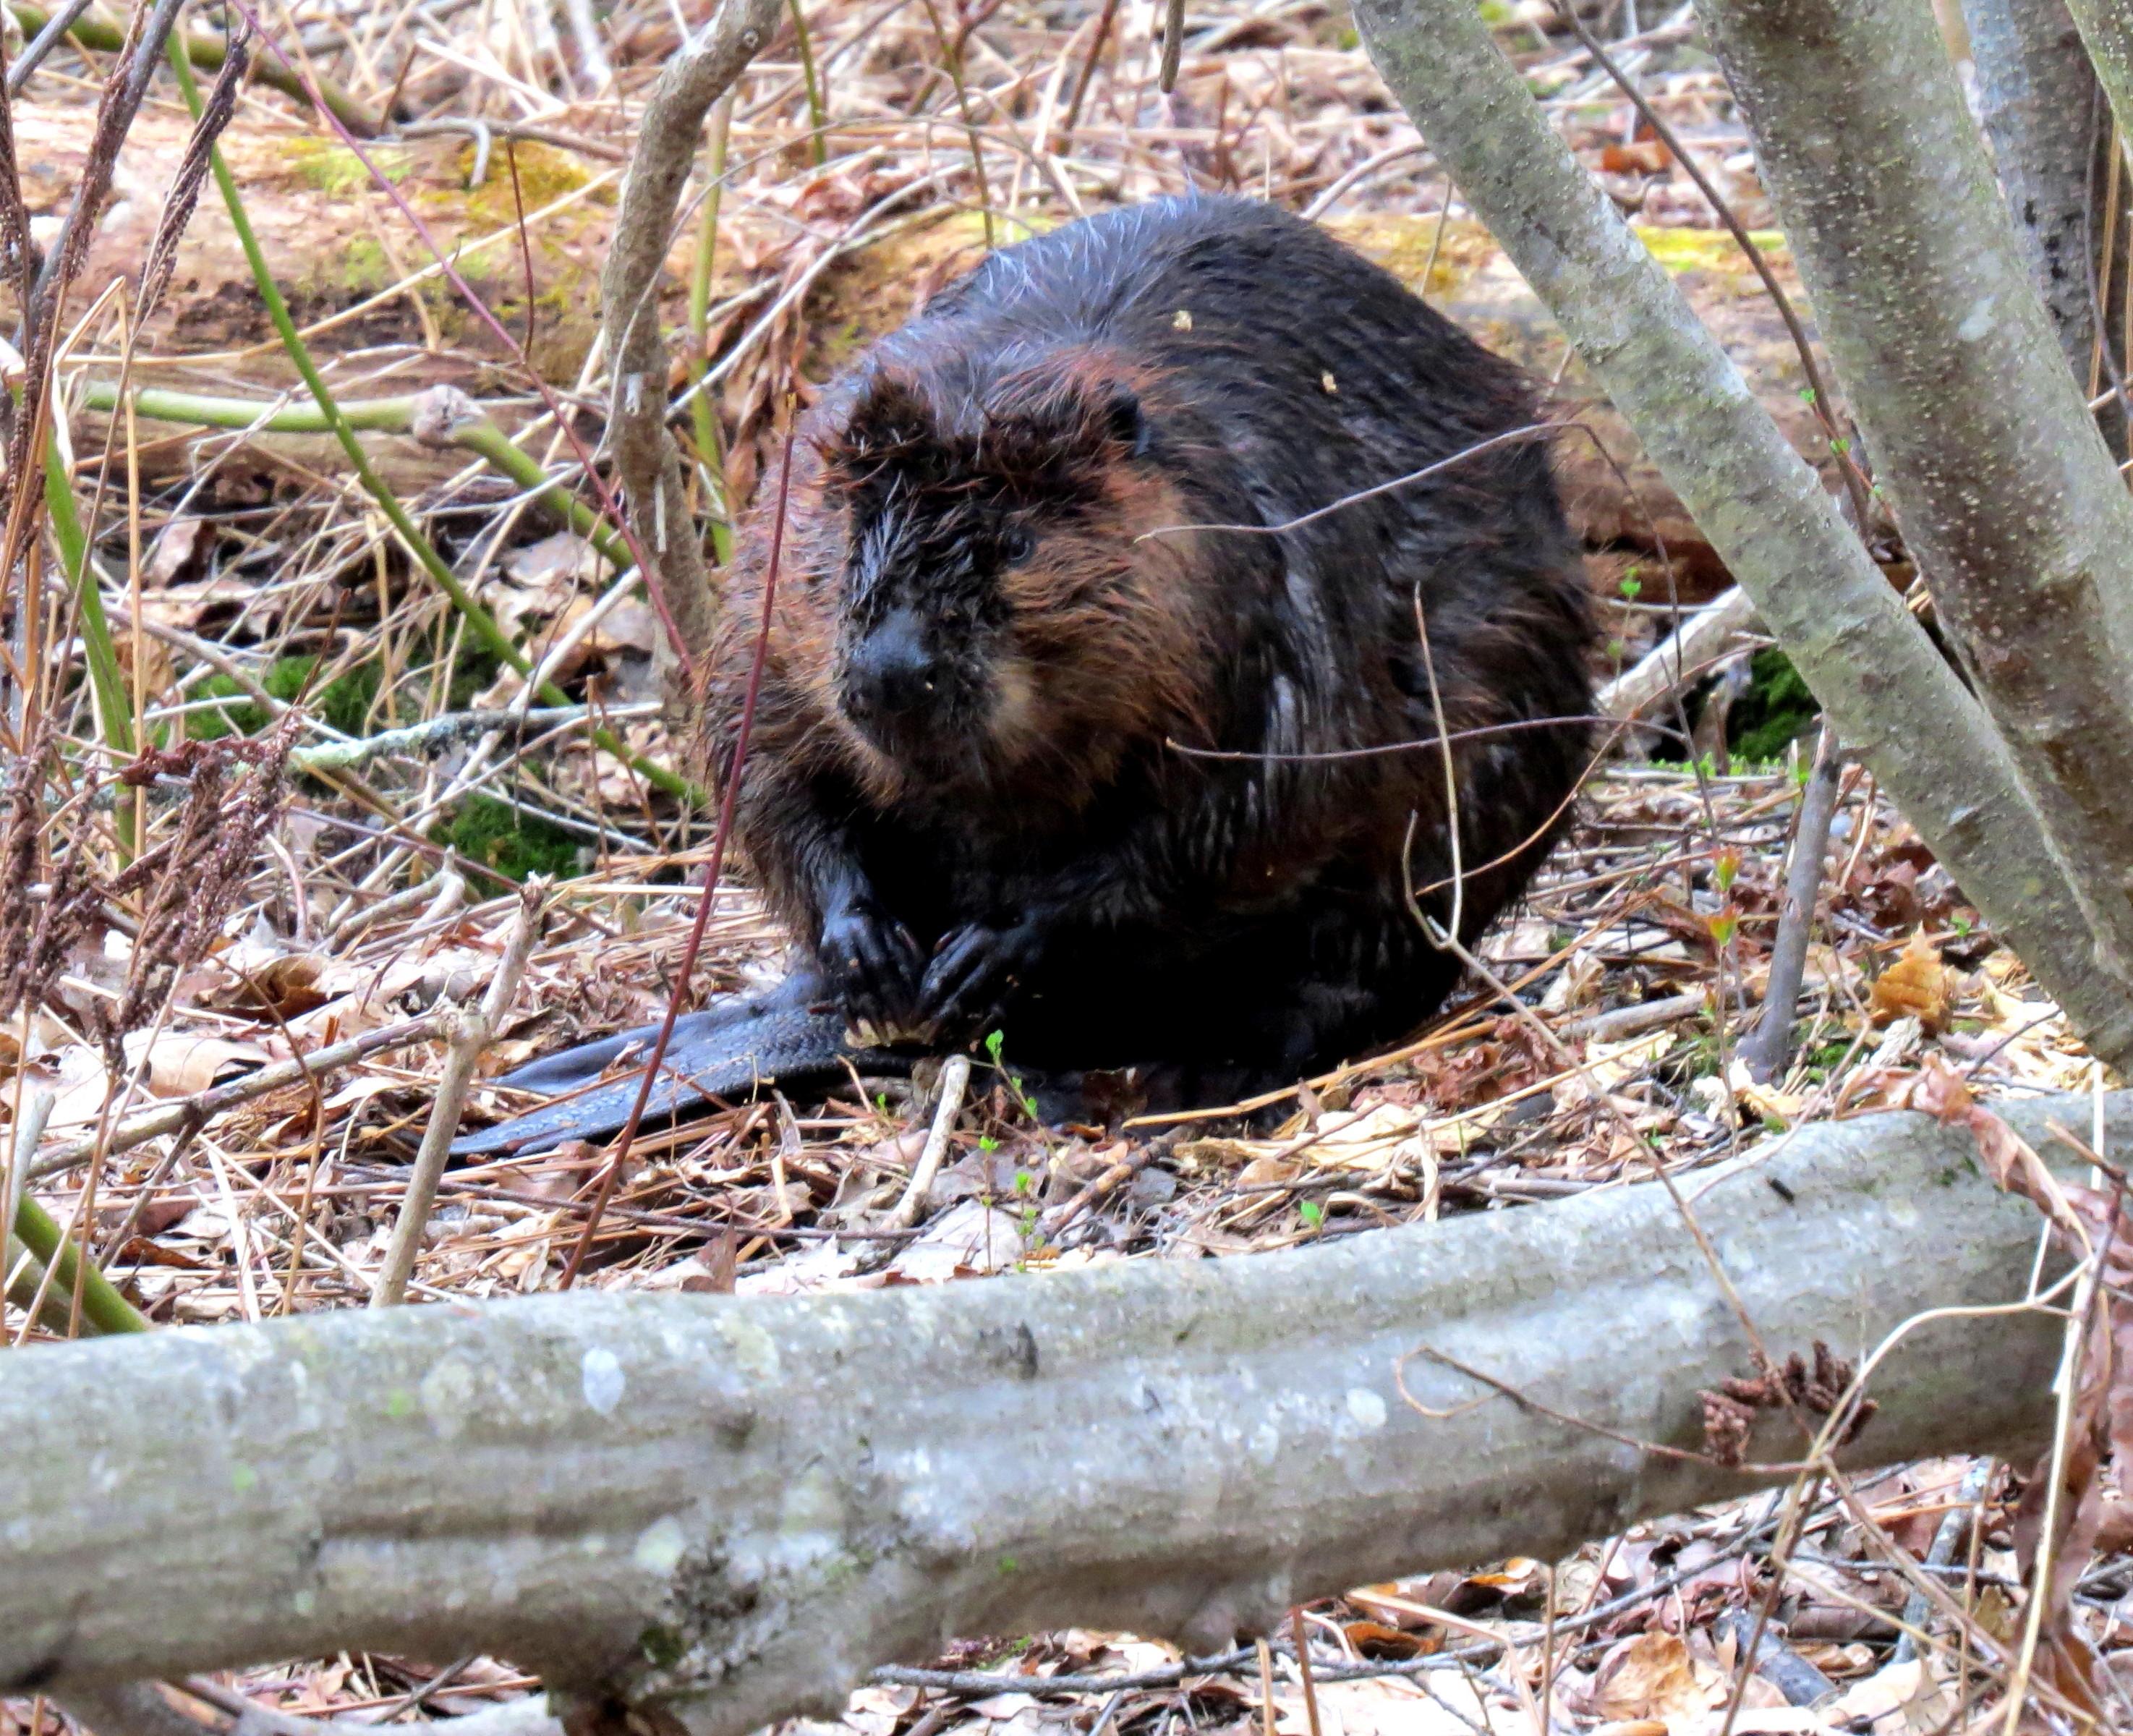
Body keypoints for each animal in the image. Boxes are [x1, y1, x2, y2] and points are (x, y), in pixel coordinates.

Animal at [459, 197, 1595, 1152]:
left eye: (1013, 543)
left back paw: (1183, 1075)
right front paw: (875, 944)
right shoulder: (770, 588)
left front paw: (995, 950)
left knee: (1341, 970)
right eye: (852, 534)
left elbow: (1243, 817)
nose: (894, 676)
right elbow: (765, 764)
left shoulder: (1282, 598)